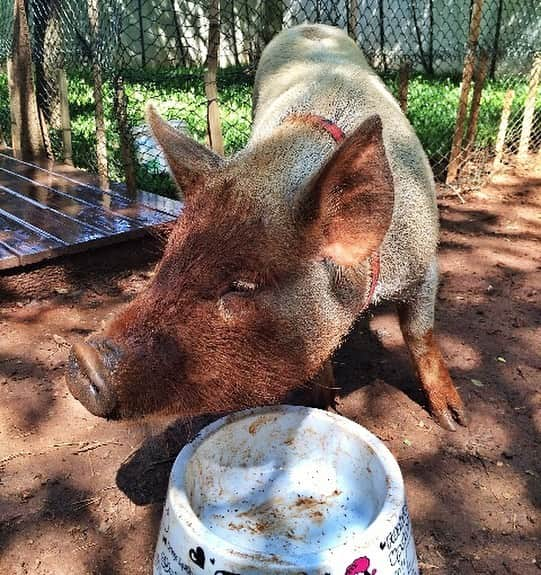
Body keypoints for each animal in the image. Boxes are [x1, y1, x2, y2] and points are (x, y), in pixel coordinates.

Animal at [66, 25, 464, 432]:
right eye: (167, 261)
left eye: (242, 285)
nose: (81, 362)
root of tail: (309, 27)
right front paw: (324, 406)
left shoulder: (425, 265)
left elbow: (420, 335)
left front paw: (453, 421)